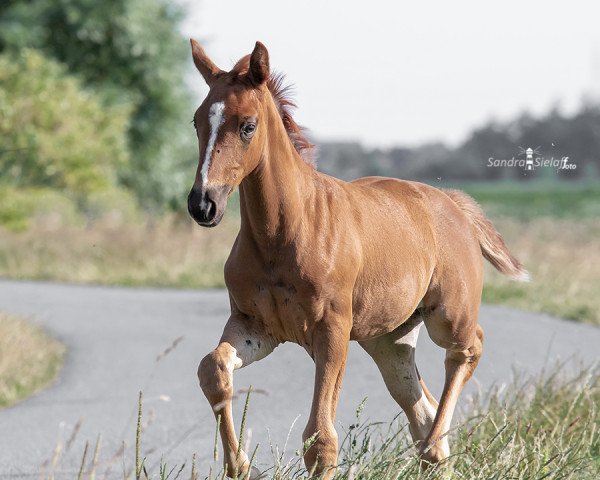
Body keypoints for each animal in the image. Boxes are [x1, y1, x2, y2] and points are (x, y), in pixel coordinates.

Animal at [189, 39, 528, 478]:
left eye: (248, 125)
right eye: (197, 122)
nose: (203, 204)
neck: (283, 234)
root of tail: (452, 203)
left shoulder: (331, 330)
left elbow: (321, 440)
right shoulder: (255, 326)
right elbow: (212, 369)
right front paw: (239, 463)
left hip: (447, 316)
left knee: (468, 349)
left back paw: (436, 441)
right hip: (390, 339)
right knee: (420, 404)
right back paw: (434, 448)